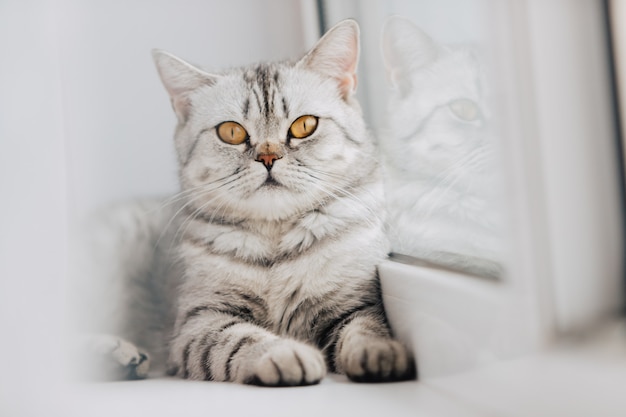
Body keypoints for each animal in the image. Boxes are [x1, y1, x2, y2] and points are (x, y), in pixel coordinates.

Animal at [70, 18, 414, 384]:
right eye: (231, 132)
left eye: (305, 125)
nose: (268, 157)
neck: (275, 243)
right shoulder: (199, 320)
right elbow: (238, 339)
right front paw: (284, 353)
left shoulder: (353, 301)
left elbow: (365, 329)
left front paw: (380, 354)